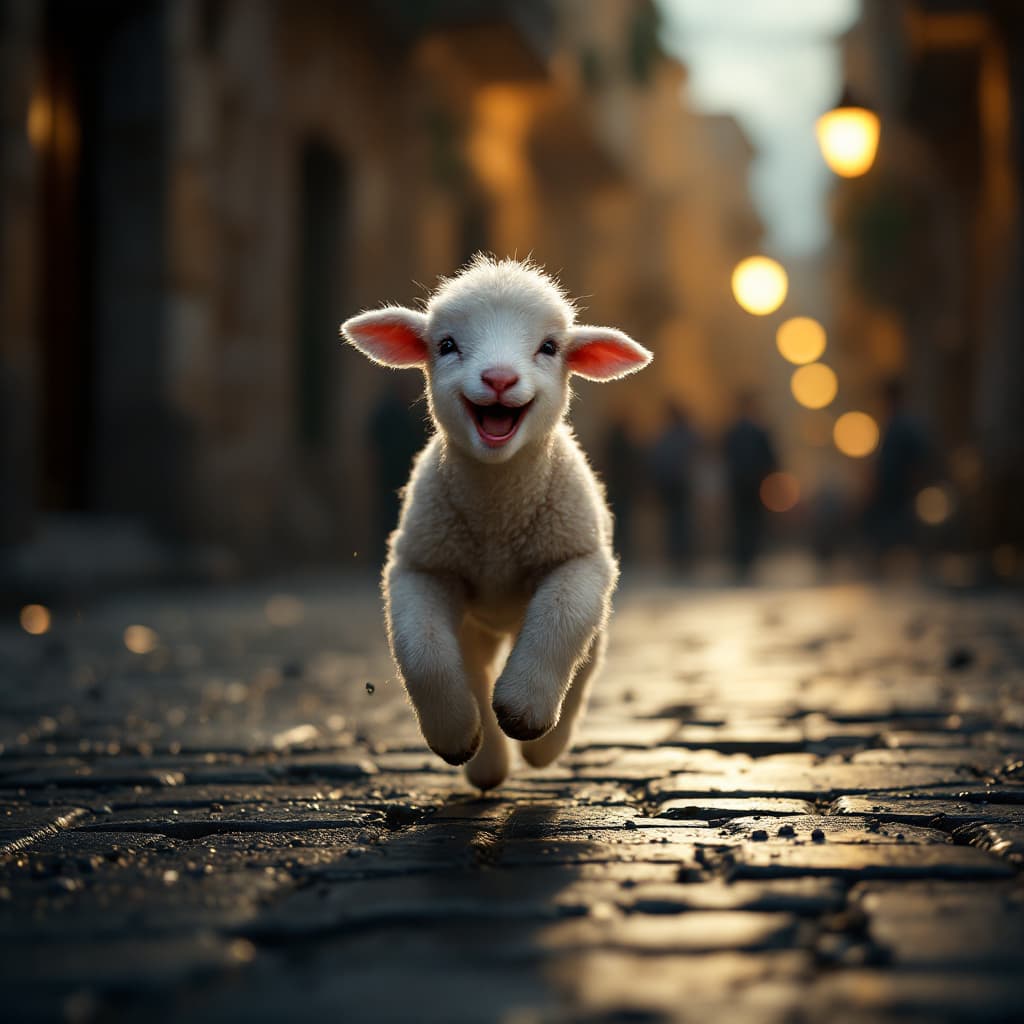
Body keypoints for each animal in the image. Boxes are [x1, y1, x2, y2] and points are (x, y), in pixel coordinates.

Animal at [341, 255, 652, 789]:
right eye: (446, 345)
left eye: (549, 347)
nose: (500, 379)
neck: (498, 518)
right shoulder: (423, 566)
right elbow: (422, 652)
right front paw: (454, 736)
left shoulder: (578, 558)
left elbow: (561, 620)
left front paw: (525, 713)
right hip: (474, 620)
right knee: (472, 665)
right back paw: (487, 766)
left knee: (585, 664)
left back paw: (545, 749)